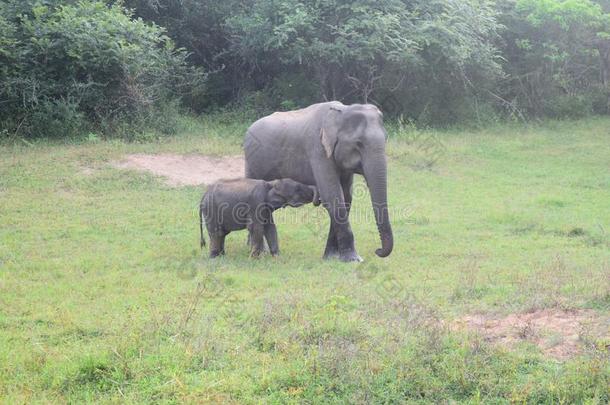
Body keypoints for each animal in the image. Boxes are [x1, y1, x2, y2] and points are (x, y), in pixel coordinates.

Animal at [243, 101, 392, 262]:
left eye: (386, 139)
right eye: (358, 144)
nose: (378, 251)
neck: (342, 111)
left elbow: (346, 197)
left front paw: (331, 257)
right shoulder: (318, 150)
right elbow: (333, 196)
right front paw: (353, 259)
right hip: (252, 162)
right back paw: (258, 251)